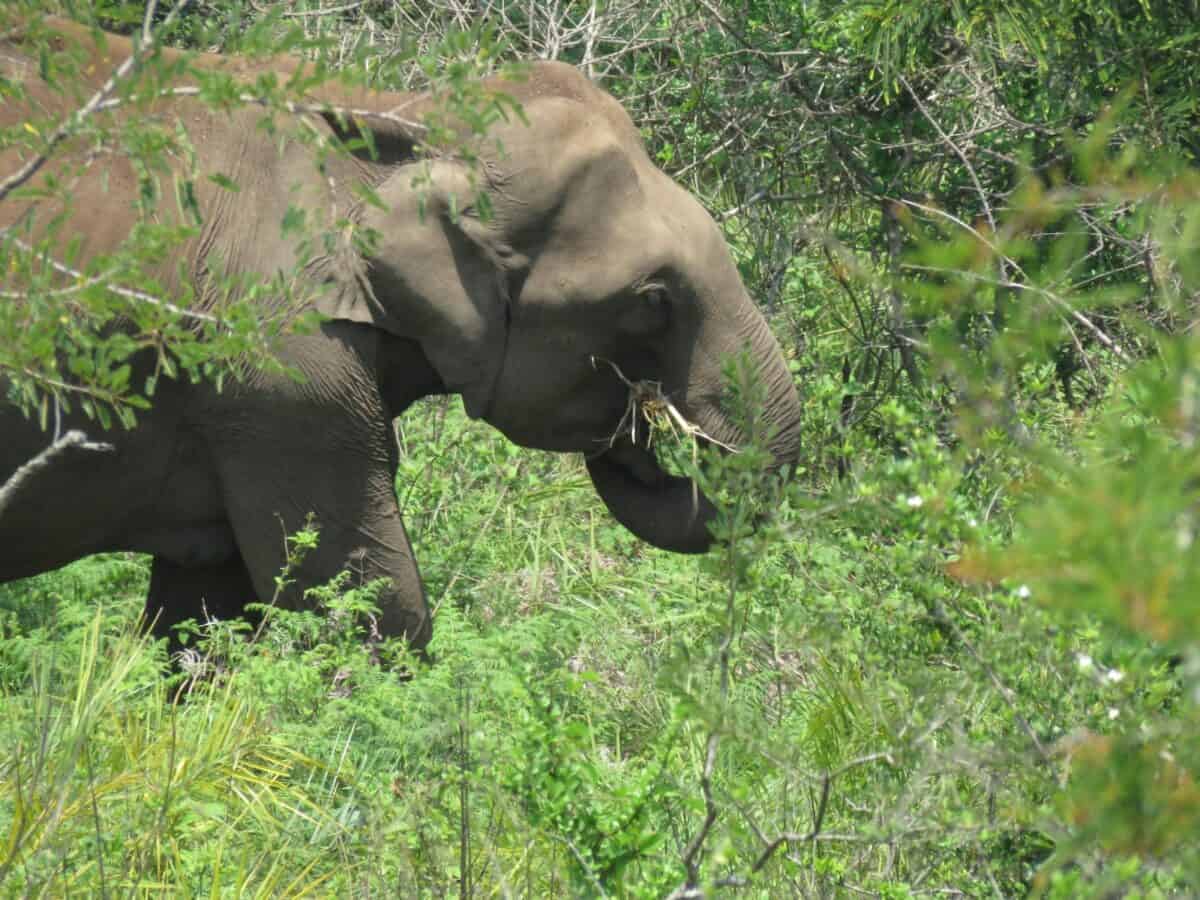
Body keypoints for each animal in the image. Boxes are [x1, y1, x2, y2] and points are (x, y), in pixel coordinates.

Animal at [0, 18, 802, 655]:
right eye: (652, 301)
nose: (640, 426)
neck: (413, 116)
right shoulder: (280, 380)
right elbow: (363, 605)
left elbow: (205, 614)